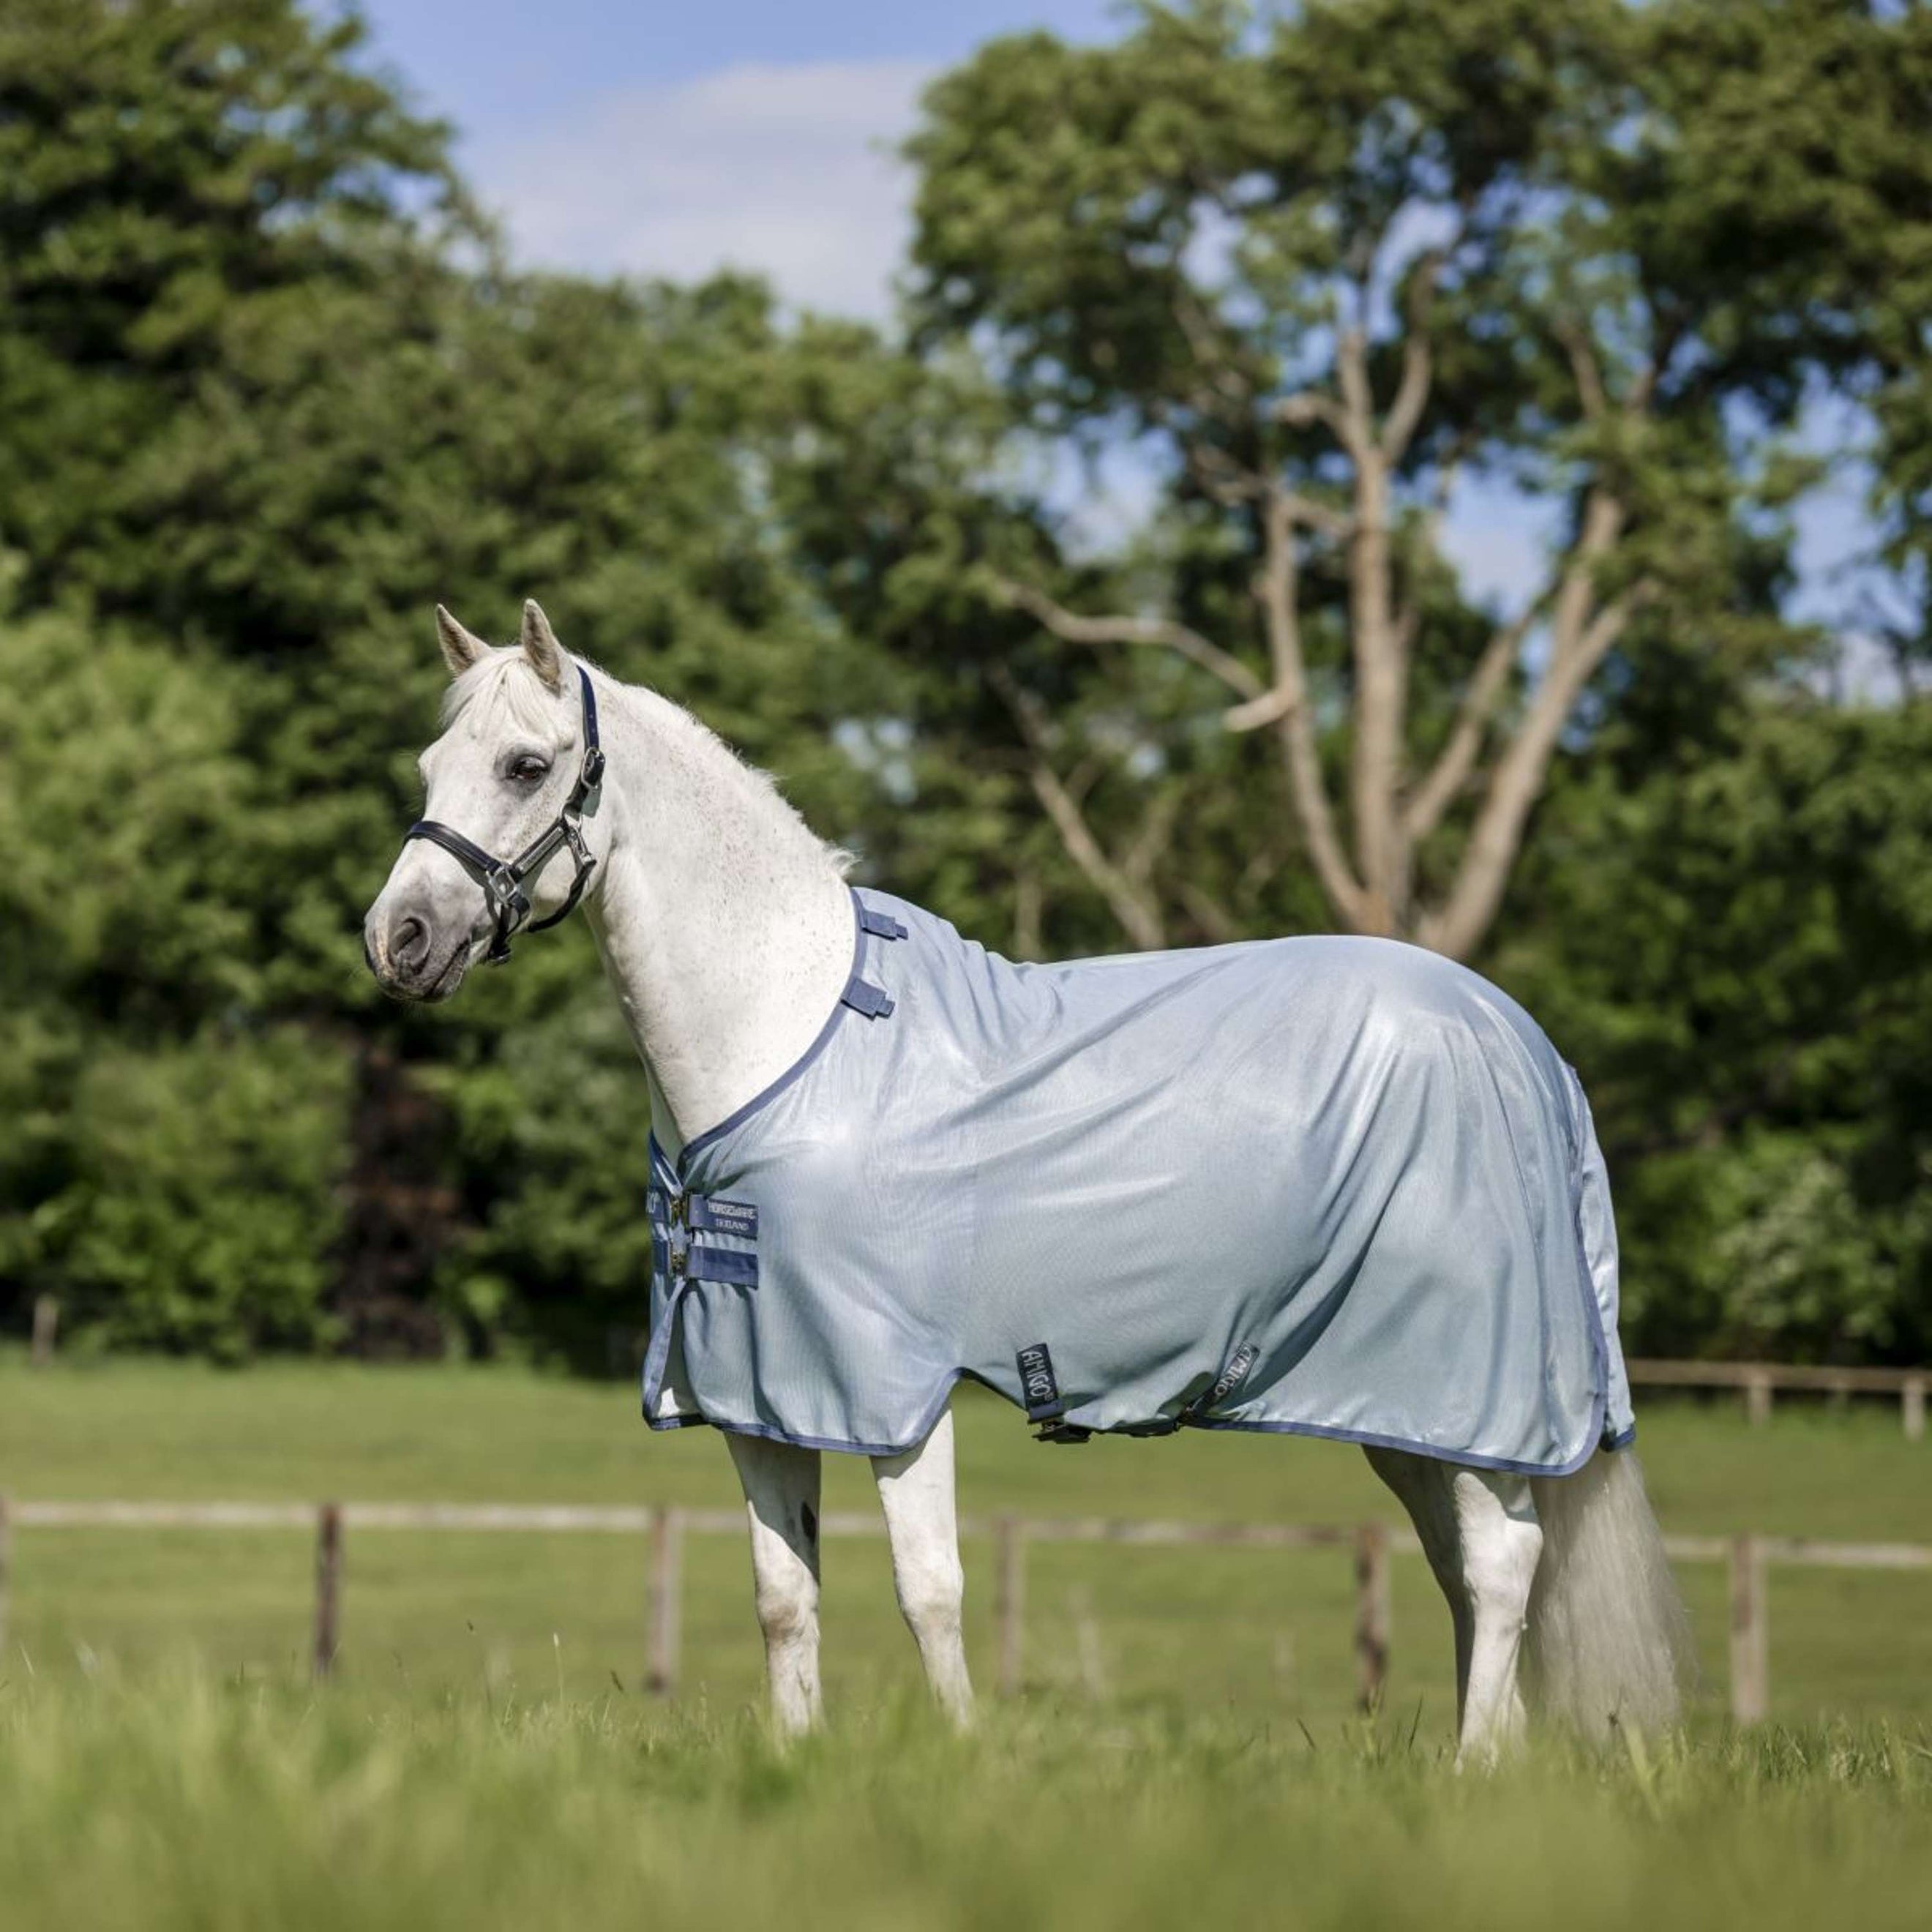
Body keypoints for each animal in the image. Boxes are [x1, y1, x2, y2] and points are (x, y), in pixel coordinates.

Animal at [364, 601, 1688, 1760]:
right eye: (430, 765)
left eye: (527, 765)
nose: (399, 940)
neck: (789, 1038)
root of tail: (1521, 1042)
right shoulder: (762, 1393)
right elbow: (785, 1600)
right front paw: (791, 1767)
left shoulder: (894, 1391)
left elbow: (931, 1591)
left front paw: (963, 1766)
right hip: (1403, 1411)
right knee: (1469, 1577)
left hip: (1469, 1397)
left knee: (1503, 1569)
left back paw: (1471, 1775)